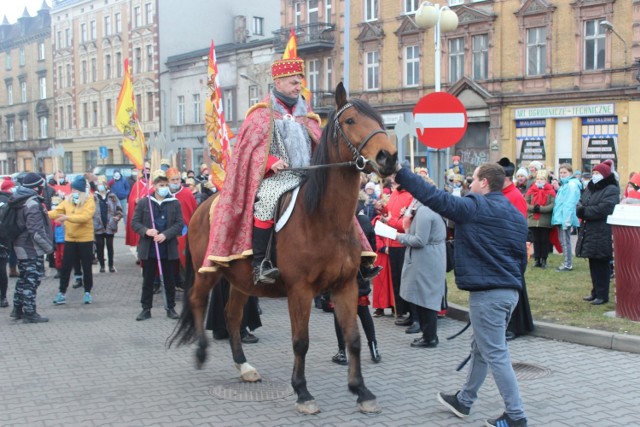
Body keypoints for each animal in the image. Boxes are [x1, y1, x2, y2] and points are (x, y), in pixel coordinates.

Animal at [169, 83, 400, 414]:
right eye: (350, 121)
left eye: (380, 120)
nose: (388, 157)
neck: (324, 220)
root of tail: (204, 205)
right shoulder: (300, 290)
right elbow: (300, 341)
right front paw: (302, 392)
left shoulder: (346, 286)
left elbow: (353, 338)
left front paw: (361, 390)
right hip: (207, 271)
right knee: (197, 301)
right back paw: (201, 352)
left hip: (240, 281)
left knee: (232, 317)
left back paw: (244, 367)